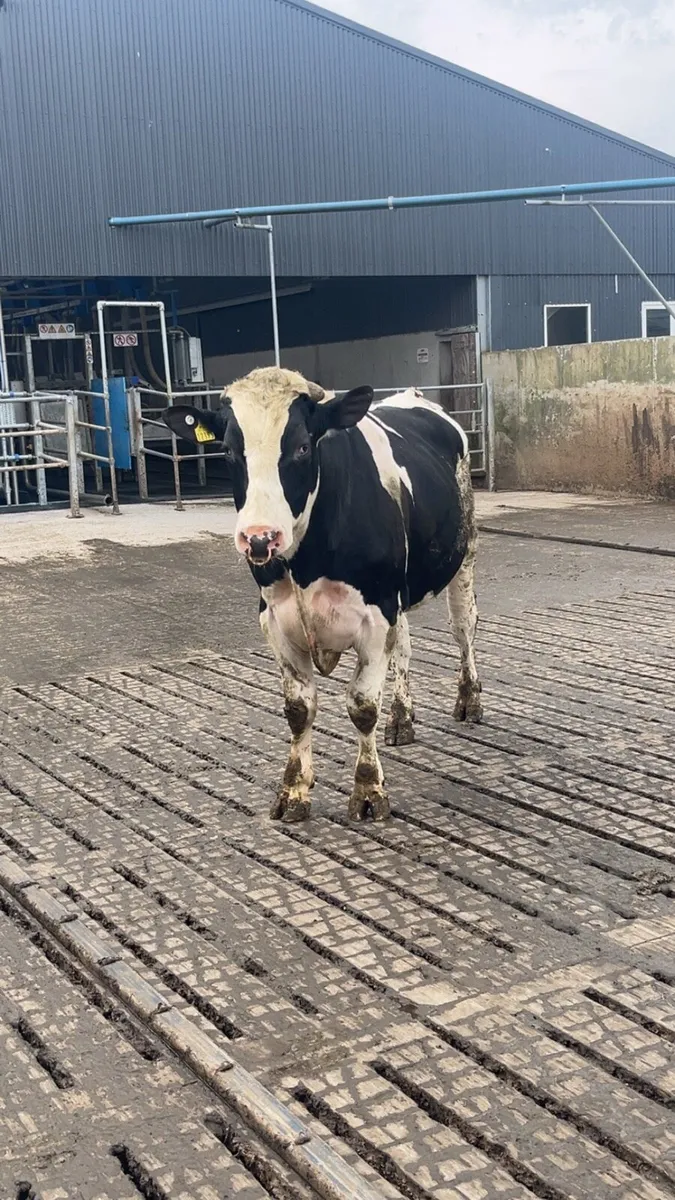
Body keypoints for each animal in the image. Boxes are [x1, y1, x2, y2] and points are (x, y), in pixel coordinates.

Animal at [163, 367, 481, 824]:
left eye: (301, 446)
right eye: (228, 451)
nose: (259, 538)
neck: (307, 563)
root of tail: (414, 397)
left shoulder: (376, 616)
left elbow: (363, 706)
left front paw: (368, 791)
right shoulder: (275, 619)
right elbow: (299, 709)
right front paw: (293, 790)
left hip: (464, 553)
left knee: (463, 628)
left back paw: (469, 700)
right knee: (404, 646)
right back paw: (401, 718)